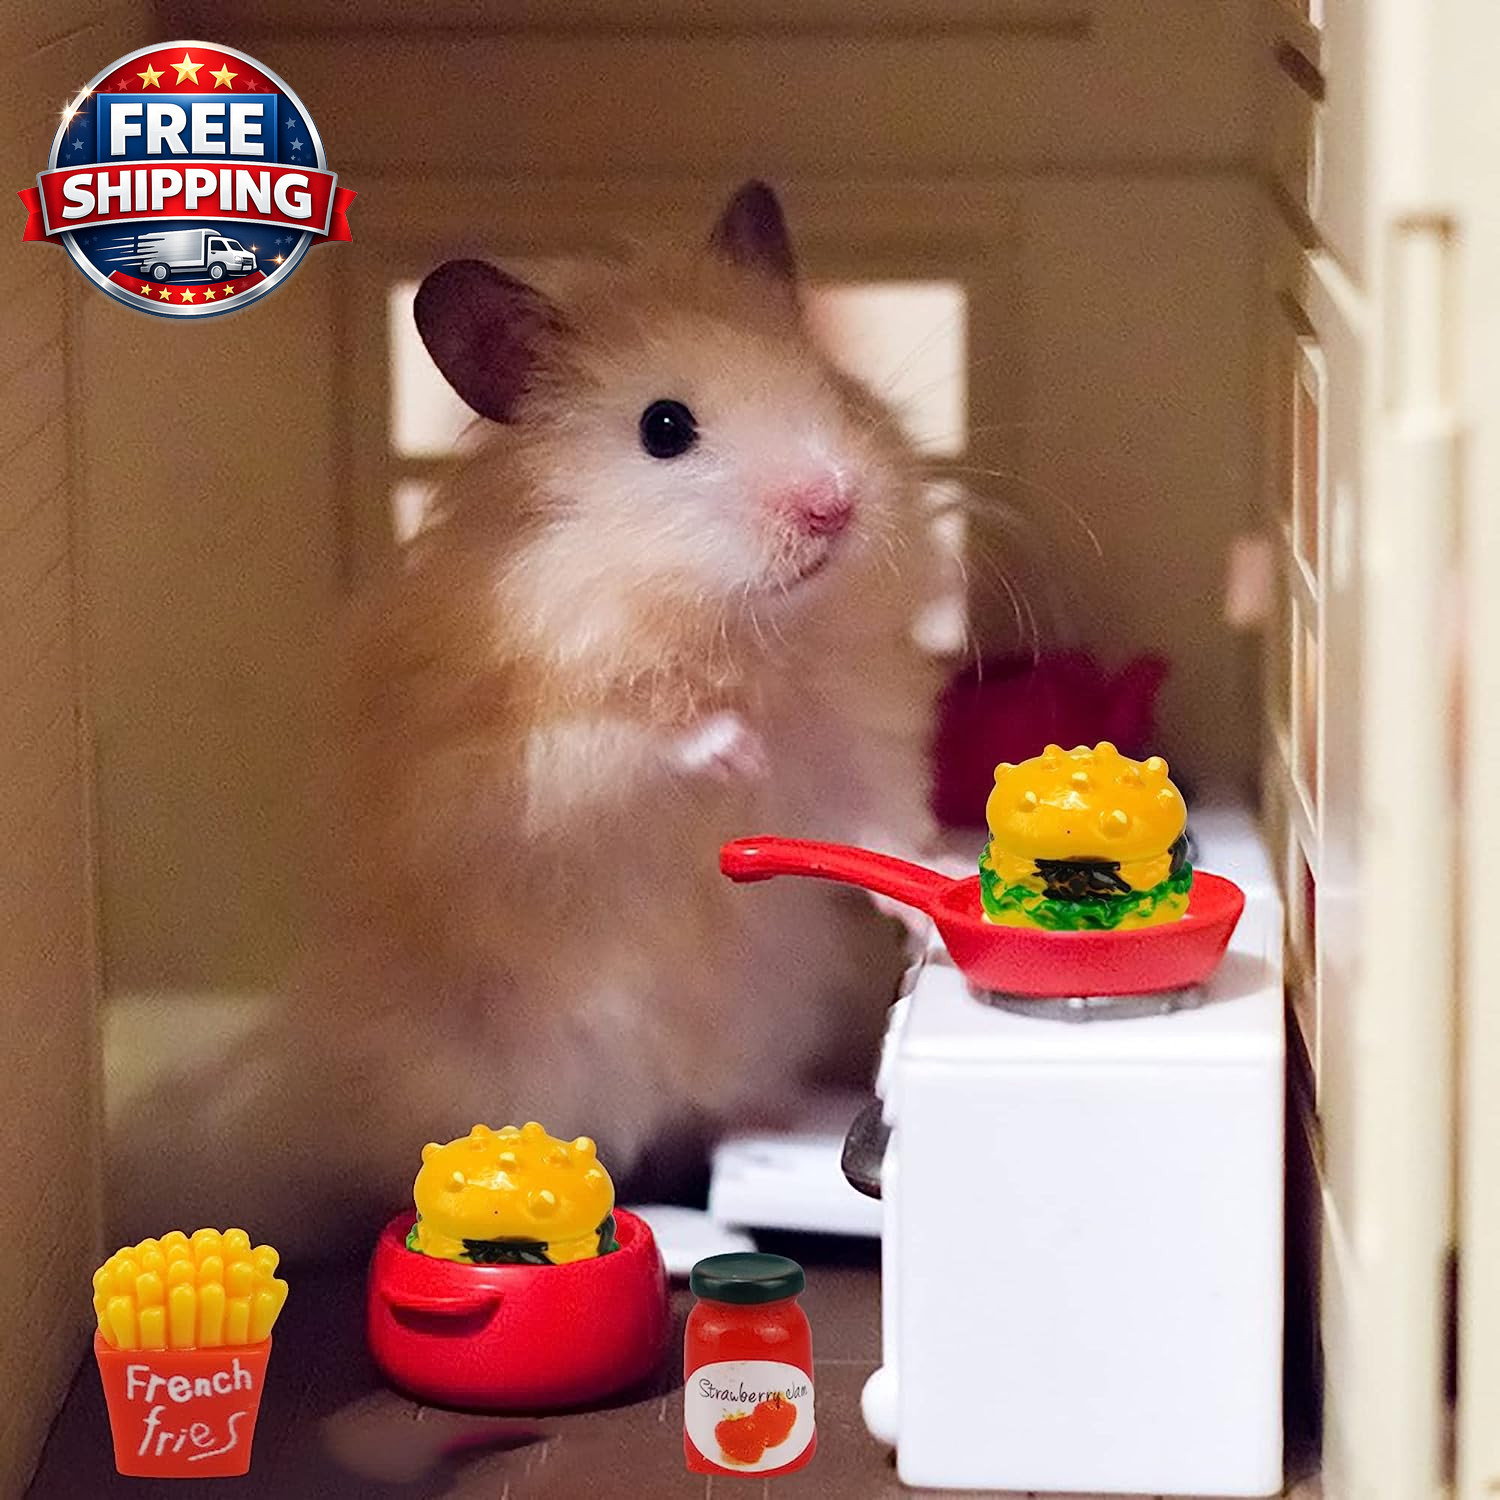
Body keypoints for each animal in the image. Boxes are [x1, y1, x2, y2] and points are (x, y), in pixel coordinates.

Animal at [107, 183, 943, 1260]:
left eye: (830, 387)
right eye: (665, 427)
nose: (834, 507)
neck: (734, 629)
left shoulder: (844, 749)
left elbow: (879, 838)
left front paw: (940, 896)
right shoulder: (522, 765)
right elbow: (633, 743)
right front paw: (731, 747)